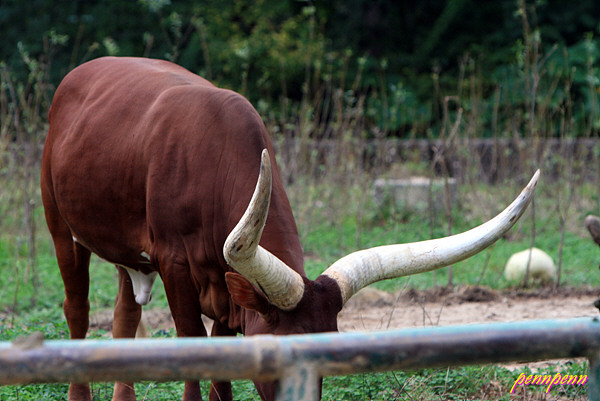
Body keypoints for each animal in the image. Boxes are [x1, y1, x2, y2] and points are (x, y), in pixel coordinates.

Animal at [41, 57, 540, 400]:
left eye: (330, 353)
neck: (213, 160)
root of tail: (84, 70)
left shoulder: (229, 297)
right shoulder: (174, 265)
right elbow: (193, 358)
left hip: (128, 255)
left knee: (124, 314)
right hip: (60, 225)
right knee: (77, 310)